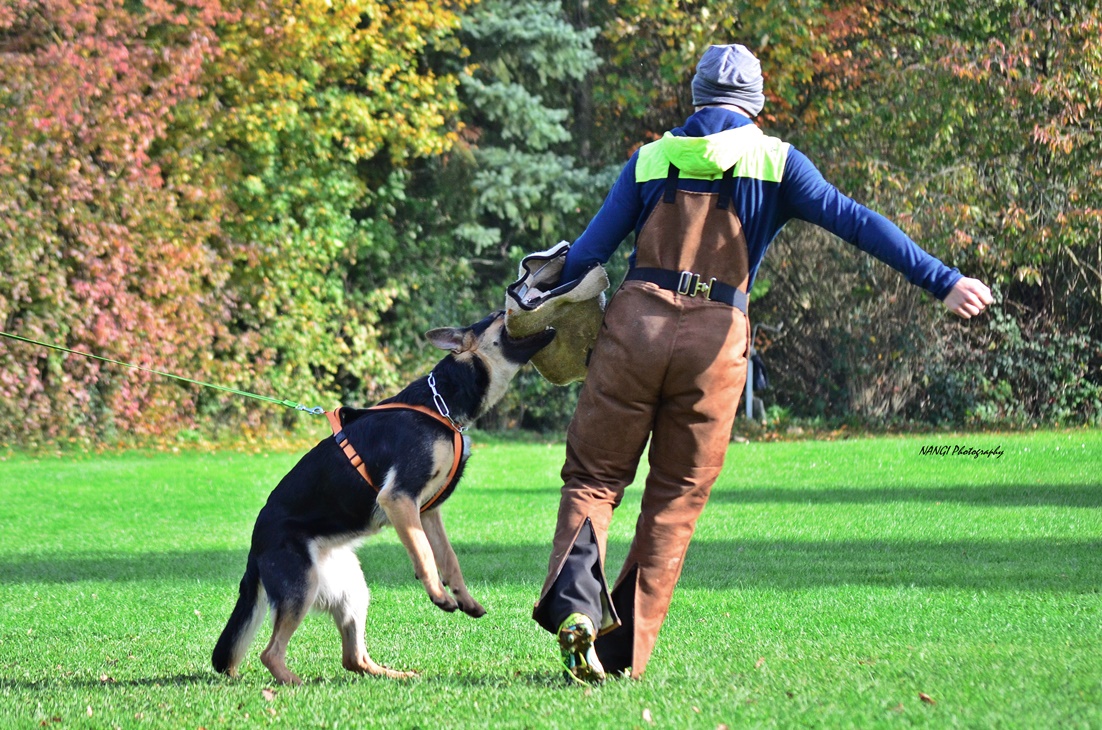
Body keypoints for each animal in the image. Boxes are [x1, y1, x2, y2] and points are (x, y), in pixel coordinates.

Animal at [210, 313, 555, 688]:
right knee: (270, 653)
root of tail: (255, 547)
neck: (441, 404)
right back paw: (295, 683)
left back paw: (394, 674)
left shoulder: (427, 510)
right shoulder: (399, 498)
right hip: (301, 588)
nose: (518, 305)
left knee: (353, 659)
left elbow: (448, 558)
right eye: (497, 317)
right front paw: (438, 594)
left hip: (353, 591)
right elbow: (424, 553)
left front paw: (464, 598)